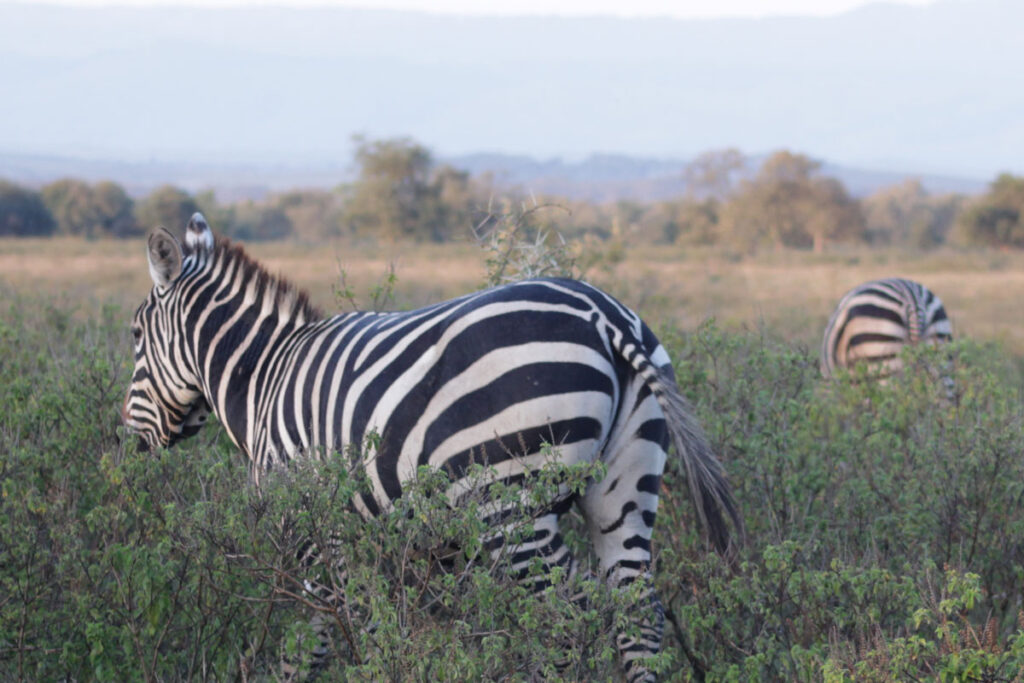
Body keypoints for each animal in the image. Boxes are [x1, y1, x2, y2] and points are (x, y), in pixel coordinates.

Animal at [122, 213, 741, 682]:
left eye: (133, 336)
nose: (128, 443)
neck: (265, 378)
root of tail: (603, 315)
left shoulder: (312, 527)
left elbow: (327, 632)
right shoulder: (416, 545)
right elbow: (418, 626)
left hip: (512, 507)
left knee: (562, 619)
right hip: (626, 487)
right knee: (637, 615)